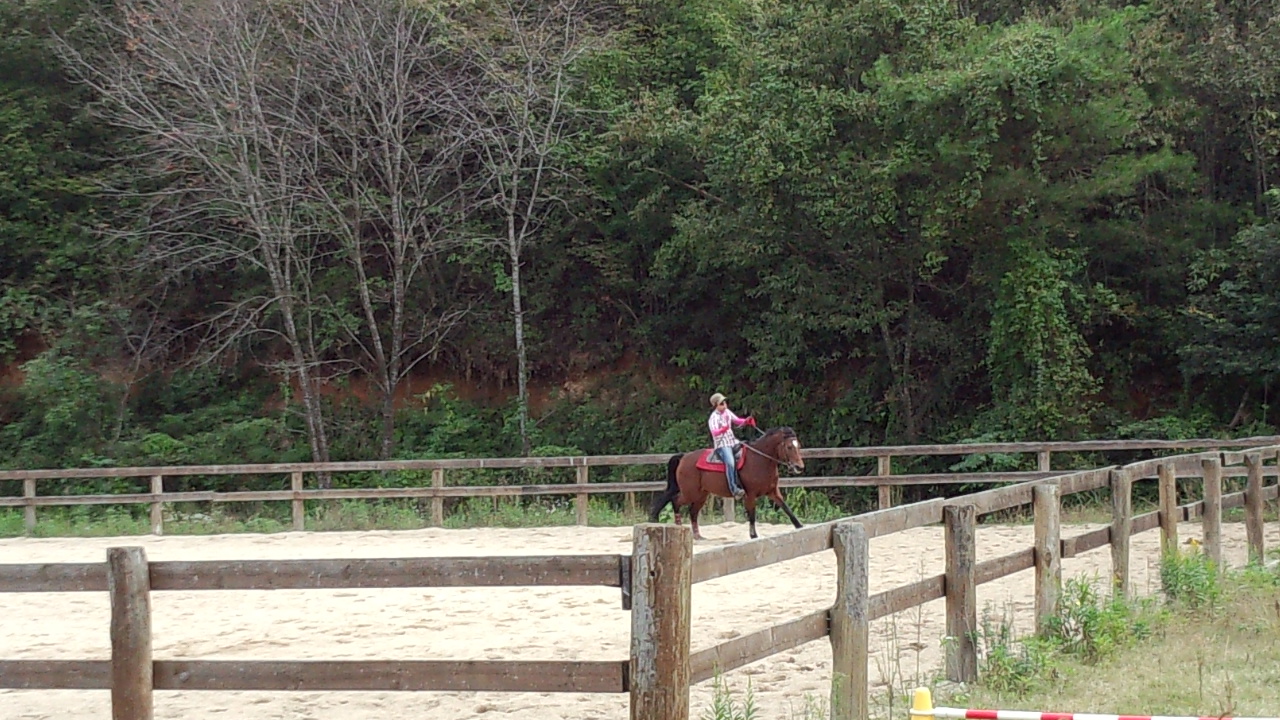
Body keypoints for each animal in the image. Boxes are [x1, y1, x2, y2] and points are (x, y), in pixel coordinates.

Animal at [645, 425, 803, 538]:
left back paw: (698, 536)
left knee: (692, 511)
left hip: (701, 495)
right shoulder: (750, 495)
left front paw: (800, 526)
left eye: (799, 446)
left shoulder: (773, 492)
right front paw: (753, 536)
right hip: (690, 492)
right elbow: (752, 515)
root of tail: (684, 457)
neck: (759, 460)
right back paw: (679, 527)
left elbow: (787, 508)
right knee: (676, 500)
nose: (799, 467)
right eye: (789, 446)